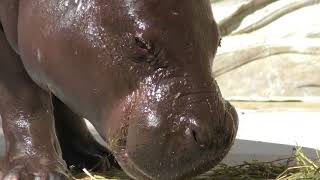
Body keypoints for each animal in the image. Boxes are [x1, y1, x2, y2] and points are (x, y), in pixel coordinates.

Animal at [0, 0, 238, 179]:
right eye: (140, 43)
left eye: (218, 40)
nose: (215, 132)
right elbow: (25, 100)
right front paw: (35, 174)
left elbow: (63, 104)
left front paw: (92, 159)